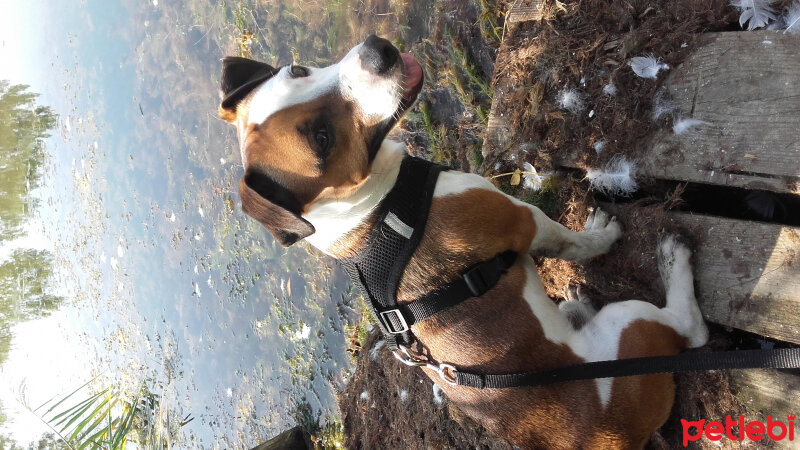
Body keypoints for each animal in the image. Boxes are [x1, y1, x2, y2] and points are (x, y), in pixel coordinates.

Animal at [219, 34, 708, 446]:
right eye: (322, 139)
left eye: (297, 70)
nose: (378, 52)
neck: (377, 212)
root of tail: (614, 439)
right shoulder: (523, 220)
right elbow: (571, 242)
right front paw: (601, 236)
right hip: (631, 324)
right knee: (692, 330)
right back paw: (672, 260)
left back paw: (576, 304)